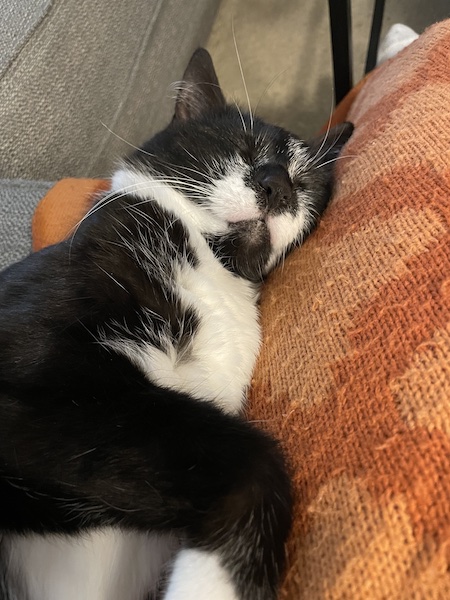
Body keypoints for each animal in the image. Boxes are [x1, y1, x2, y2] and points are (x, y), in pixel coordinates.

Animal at [0, 48, 354, 600]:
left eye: (306, 182)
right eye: (241, 146)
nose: (276, 185)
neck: (212, 272)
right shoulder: (44, 385)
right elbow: (252, 455)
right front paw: (212, 586)